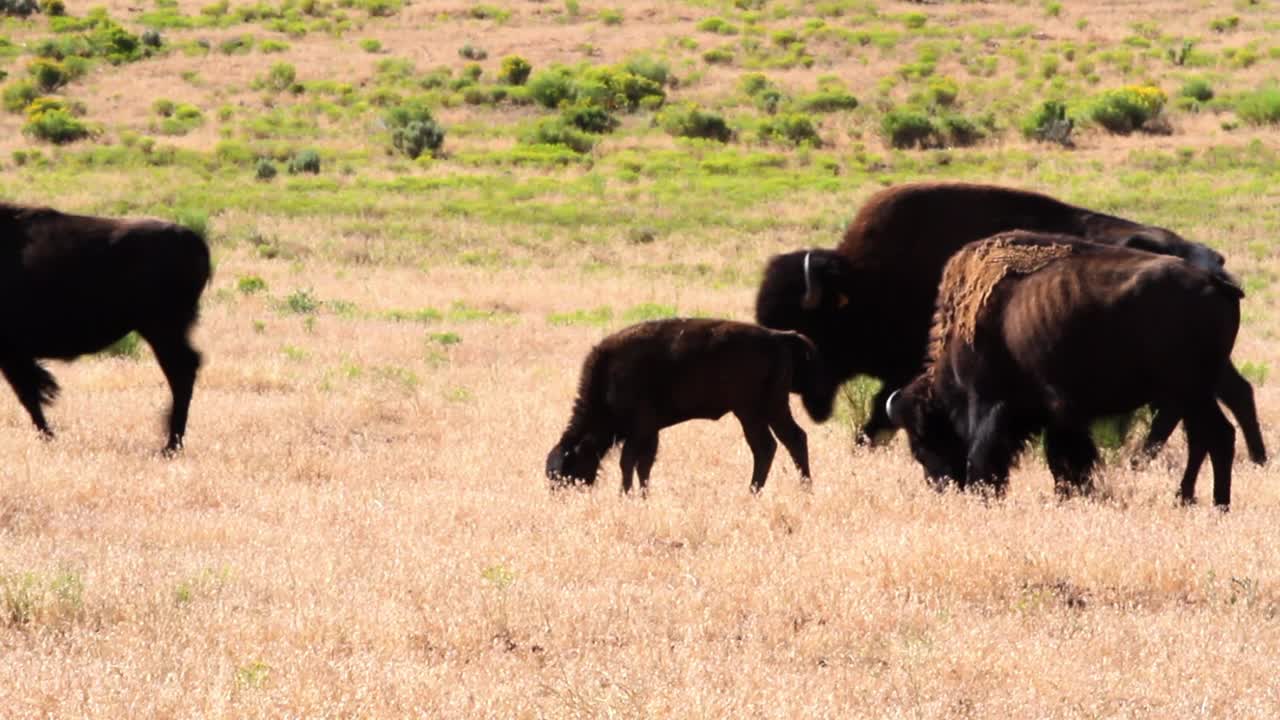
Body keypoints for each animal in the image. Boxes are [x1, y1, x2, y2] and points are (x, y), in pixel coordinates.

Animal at [0, 198, 212, 450]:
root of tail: (195, 240)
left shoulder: (12, 354)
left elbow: (28, 393)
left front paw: (49, 437)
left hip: (161, 329)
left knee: (182, 370)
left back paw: (170, 446)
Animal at [542, 317, 829, 491]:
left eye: (566, 471)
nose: (560, 496)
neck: (609, 375)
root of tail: (779, 336)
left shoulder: (640, 428)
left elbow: (629, 461)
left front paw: (625, 494)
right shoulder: (650, 431)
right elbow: (643, 464)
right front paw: (642, 494)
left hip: (764, 408)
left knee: (788, 441)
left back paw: (796, 489)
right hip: (754, 412)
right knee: (770, 446)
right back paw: (761, 491)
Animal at [752, 178, 1264, 458]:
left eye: (808, 327)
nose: (794, 389)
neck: (865, 281)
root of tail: (1210, 262)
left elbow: (880, 414)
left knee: (1186, 406)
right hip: (1202, 365)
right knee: (1232, 393)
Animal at [885, 229, 1244, 504]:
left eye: (923, 439)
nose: (940, 484)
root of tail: (1217, 283)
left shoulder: (993, 404)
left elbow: (999, 453)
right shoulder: (1061, 413)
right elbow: (1068, 457)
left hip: (1191, 391)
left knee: (1217, 436)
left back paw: (1216, 504)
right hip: (1193, 394)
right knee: (1204, 438)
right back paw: (1187, 499)